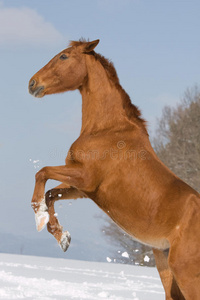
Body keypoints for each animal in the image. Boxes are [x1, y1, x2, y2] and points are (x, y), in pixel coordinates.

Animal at [28, 39, 200, 300]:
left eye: (64, 56)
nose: (32, 83)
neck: (107, 129)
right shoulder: (83, 189)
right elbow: (50, 193)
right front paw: (63, 238)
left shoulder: (86, 177)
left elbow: (42, 173)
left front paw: (39, 217)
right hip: (166, 267)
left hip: (186, 273)